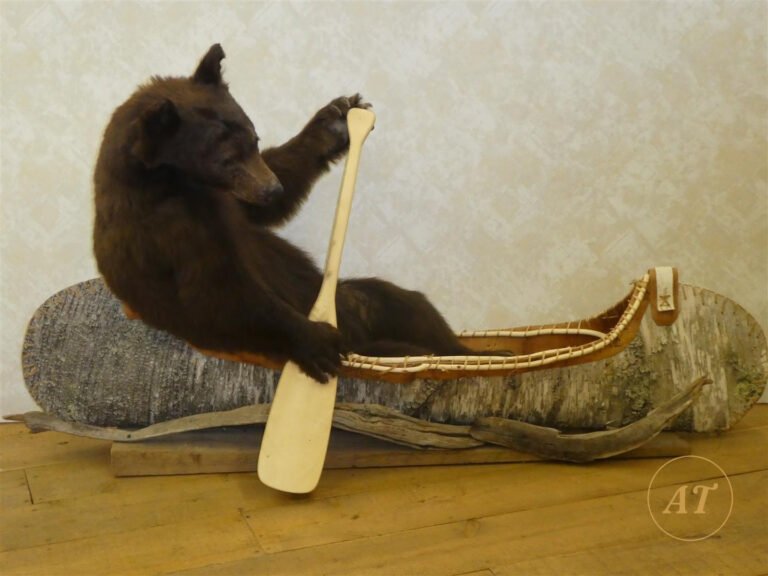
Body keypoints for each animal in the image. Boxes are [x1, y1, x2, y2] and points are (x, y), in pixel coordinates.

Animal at [93, 44, 483, 384]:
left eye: (254, 138)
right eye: (226, 159)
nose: (272, 189)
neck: (168, 182)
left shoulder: (231, 203)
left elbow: (270, 188)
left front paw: (336, 121)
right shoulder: (171, 234)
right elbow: (218, 294)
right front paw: (316, 341)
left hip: (355, 298)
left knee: (407, 304)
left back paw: (466, 351)